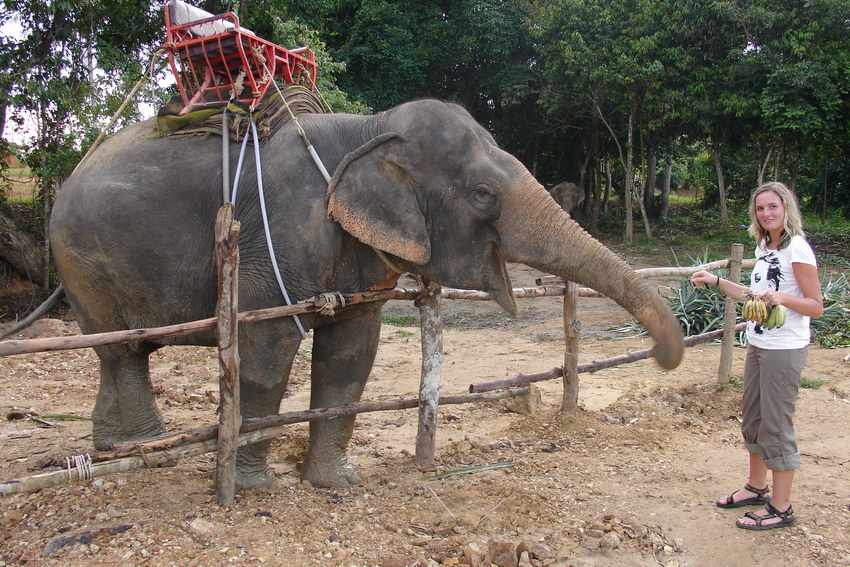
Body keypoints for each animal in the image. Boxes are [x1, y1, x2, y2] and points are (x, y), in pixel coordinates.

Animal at [49, 96, 684, 488]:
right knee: (126, 352)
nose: (662, 355)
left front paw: (337, 483)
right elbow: (266, 349)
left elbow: (354, 350)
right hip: (84, 258)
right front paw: (255, 488)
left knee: (116, 354)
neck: (370, 128)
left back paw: (110, 452)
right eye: (482, 194)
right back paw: (155, 452)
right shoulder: (272, 236)